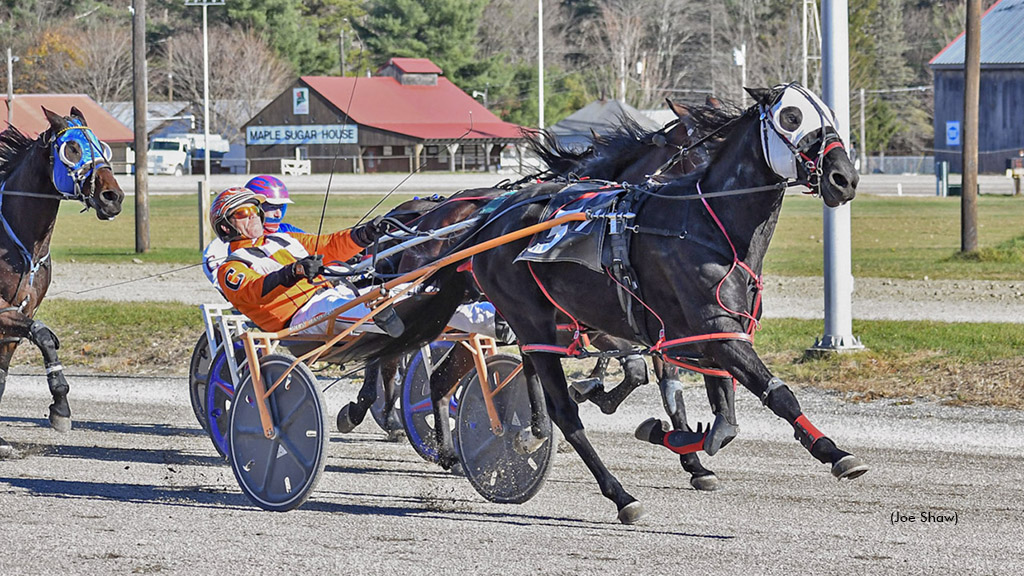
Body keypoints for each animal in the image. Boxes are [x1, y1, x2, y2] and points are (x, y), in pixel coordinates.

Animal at [0, 108, 124, 457]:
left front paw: (61, 406)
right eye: (73, 149)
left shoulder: (21, 313)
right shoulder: (4, 312)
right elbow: (43, 334)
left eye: (103, 148)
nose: (113, 196)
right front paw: (60, 406)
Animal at [448, 84, 864, 520]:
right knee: (564, 412)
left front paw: (680, 443)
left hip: (537, 327)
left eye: (832, 115)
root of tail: (491, 222)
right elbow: (775, 395)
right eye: (791, 118)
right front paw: (834, 453)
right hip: (532, 321)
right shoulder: (716, 333)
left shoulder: (702, 338)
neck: (707, 223)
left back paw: (534, 432)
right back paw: (619, 494)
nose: (844, 178)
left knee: (532, 372)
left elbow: (720, 422)